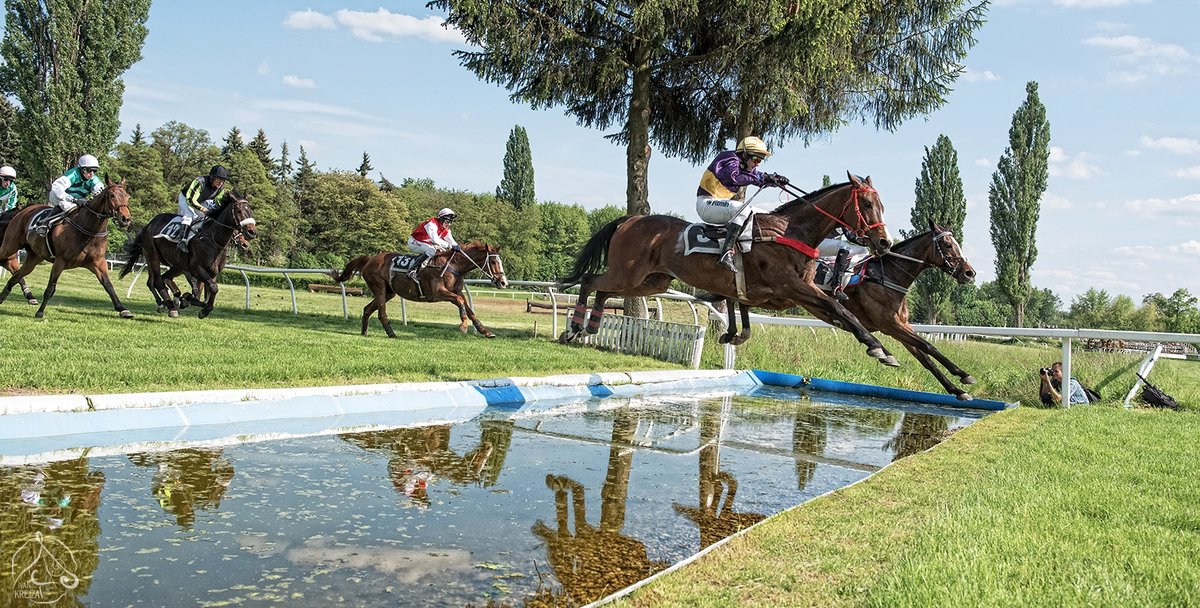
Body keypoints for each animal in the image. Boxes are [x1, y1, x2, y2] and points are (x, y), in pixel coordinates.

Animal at [0, 178, 133, 321]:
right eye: (112, 195)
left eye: (127, 196)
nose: (126, 219)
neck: (88, 229)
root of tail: (22, 211)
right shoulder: (60, 260)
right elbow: (50, 288)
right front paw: (40, 312)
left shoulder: (98, 262)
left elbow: (109, 286)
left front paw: (123, 310)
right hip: (10, 246)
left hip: (34, 257)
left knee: (16, 275)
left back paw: (4, 297)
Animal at [118, 196, 256, 321]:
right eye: (238, 211)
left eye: (250, 210)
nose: (251, 233)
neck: (212, 240)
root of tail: (148, 224)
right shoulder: (195, 268)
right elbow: (208, 288)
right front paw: (195, 305)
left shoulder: (213, 272)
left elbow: (208, 292)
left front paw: (189, 301)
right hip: (153, 256)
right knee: (157, 282)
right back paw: (169, 306)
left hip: (174, 265)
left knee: (161, 279)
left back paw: (169, 301)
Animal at [331, 241, 508, 338]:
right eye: (493, 262)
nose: (503, 282)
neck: (453, 266)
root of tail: (370, 259)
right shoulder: (436, 293)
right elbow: (460, 302)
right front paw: (463, 326)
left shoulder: (456, 291)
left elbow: (468, 307)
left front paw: (485, 331)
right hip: (379, 287)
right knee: (381, 313)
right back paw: (392, 333)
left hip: (389, 292)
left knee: (367, 309)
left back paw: (364, 332)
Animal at [556, 173, 897, 369]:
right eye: (867, 204)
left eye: (881, 205)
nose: (884, 242)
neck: (790, 232)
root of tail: (629, 219)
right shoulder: (791, 288)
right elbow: (841, 309)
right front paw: (881, 350)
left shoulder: (800, 293)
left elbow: (841, 313)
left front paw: (879, 347)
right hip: (628, 273)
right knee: (589, 281)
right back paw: (573, 328)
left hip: (650, 282)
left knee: (602, 289)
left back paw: (589, 327)